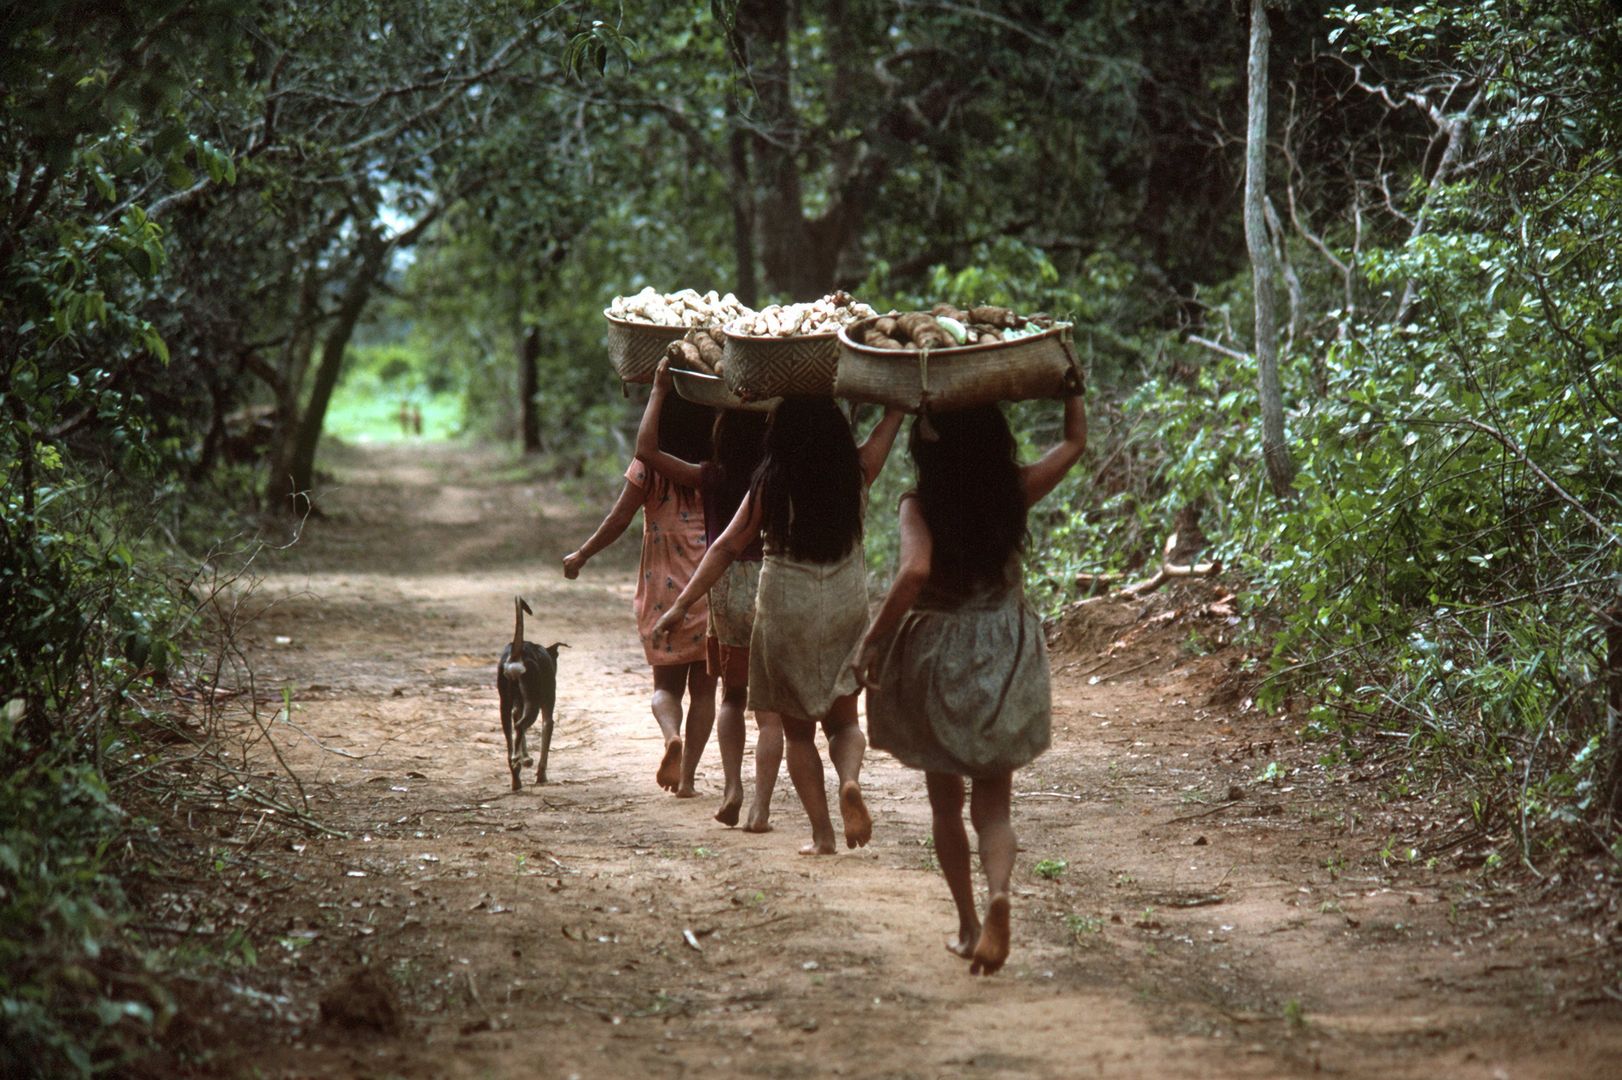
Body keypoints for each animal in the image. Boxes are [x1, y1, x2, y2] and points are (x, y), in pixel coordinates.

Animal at [496, 593, 567, 788]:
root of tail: (516, 654)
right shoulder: (547, 705)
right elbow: (546, 730)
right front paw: (541, 775)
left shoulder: (517, 706)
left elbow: (518, 725)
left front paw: (526, 758)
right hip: (533, 703)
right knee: (520, 726)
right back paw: (518, 762)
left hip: (504, 703)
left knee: (511, 733)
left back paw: (516, 775)